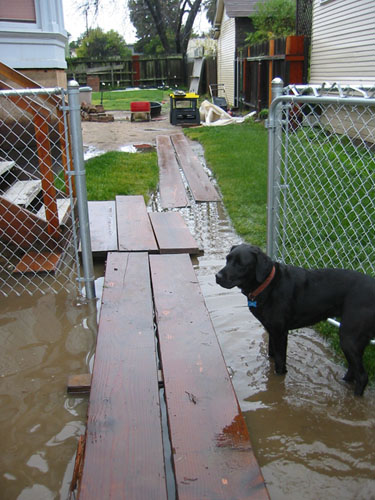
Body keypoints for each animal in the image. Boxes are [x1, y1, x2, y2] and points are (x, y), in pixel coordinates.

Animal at [216, 244, 375, 396]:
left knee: (362, 376)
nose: (217, 276)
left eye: (240, 264)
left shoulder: (280, 333)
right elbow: (271, 355)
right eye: (227, 259)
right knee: (353, 369)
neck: (268, 285)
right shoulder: (271, 330)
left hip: (348, 338)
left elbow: (280, 364)